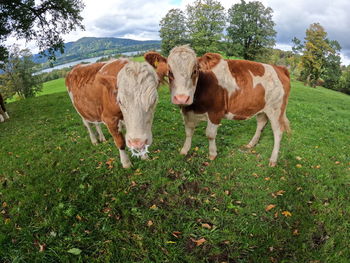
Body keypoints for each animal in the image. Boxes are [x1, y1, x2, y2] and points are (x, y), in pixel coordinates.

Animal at [144, 45, 290, 167]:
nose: (182, 98)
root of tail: (279, 68)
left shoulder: (215, 112)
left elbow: (210, 134)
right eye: (170, 72)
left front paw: (212, 154)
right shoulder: (187, 112)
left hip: (276, 110)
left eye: (195, 71)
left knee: (278, 132)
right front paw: (184, 150)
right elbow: (189, 132)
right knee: (261, 124)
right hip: (261, 108)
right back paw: (251, 144)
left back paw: (273, 160)